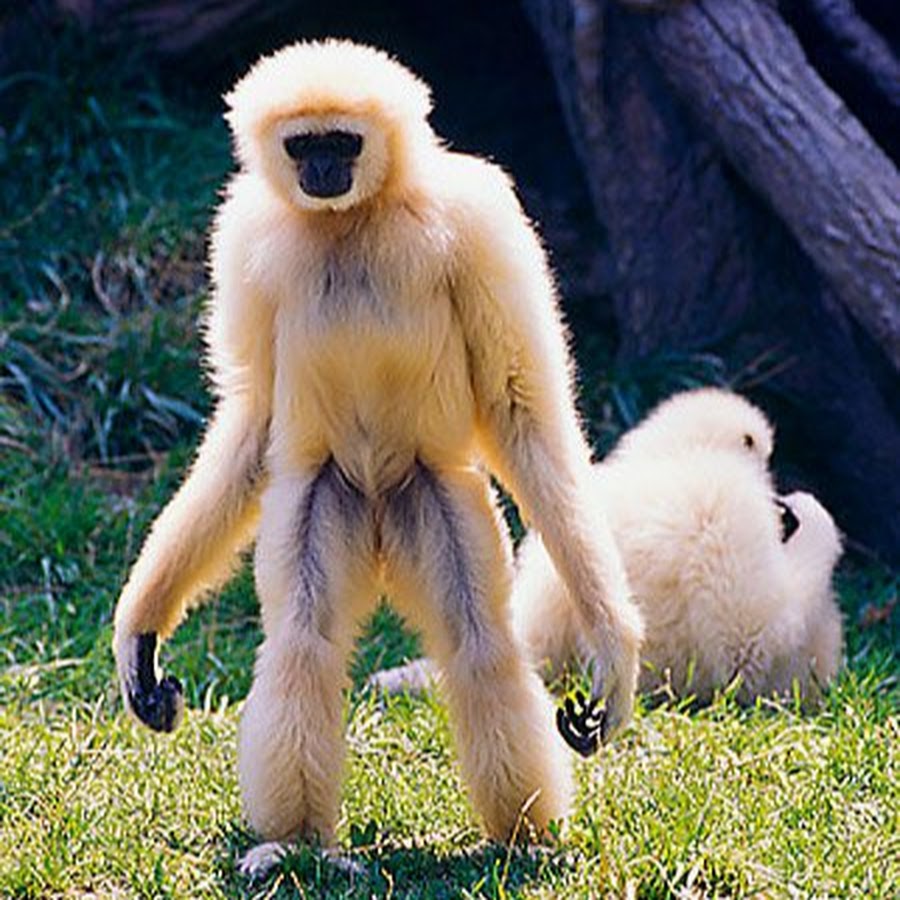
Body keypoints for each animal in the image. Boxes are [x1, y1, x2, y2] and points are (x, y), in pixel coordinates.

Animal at [112, 39, 642, 869]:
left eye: (343, 141)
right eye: (304, 145)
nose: (323, 171)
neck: (352, 223)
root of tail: (380, 506)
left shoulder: (483, 220)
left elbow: (522, 408)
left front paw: (612, 651)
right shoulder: (240, 234)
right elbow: (252, 422)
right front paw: (142, 630)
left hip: (437, 491)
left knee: (480, 644)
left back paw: (522, 839)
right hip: (325, 494)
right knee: (305, 643)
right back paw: (297, 846)